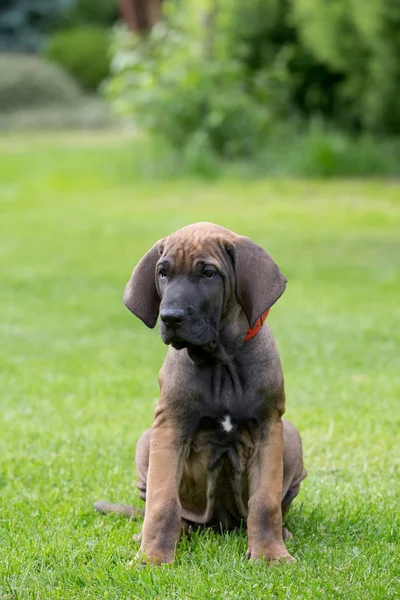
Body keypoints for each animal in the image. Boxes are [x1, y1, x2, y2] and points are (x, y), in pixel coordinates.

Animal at [97, 223, 306, 564]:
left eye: (208, 273)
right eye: (162, 273)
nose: (170, 317)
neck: (220, 360)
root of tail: (219, 524)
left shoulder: (269, 428)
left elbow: (265, 503)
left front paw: (271, 556)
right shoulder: (170, 426)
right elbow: (161, 503)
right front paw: (152, 558)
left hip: (291, 436)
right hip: (146, 441)